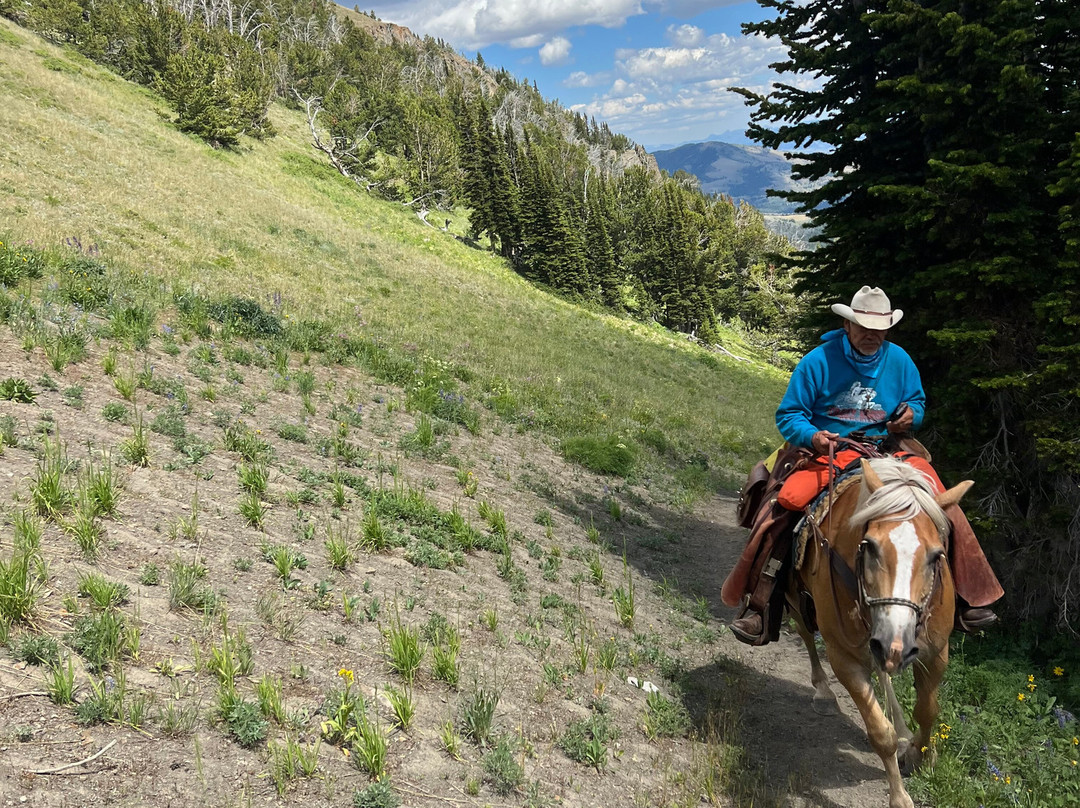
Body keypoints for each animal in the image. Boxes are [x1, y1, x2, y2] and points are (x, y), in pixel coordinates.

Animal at [786, 456, 971, 808]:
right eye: (869, 546)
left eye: (937, 555)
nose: (893, 645)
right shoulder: (844, 658)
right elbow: (881, 733)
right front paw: (899, 796)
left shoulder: (936, 653)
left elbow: (927, 711)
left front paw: (919, 756)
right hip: (796, 600)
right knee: (805, 634)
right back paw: (823, 691)